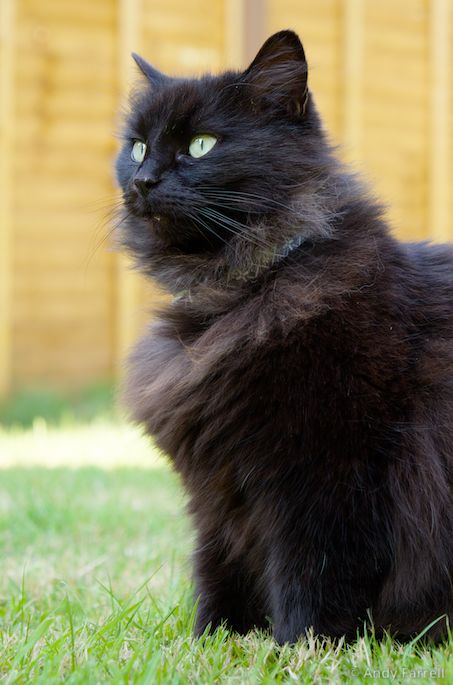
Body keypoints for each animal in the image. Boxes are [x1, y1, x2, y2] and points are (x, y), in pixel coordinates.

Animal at [115, 30, 450, 640]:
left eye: (201, 145)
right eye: (137, 148)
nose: (144, 181)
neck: (239, 292)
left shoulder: (327, 477)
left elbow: (310, 584)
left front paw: (299, 648)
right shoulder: (218, 494)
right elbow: (217, 574)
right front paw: (210, 643)